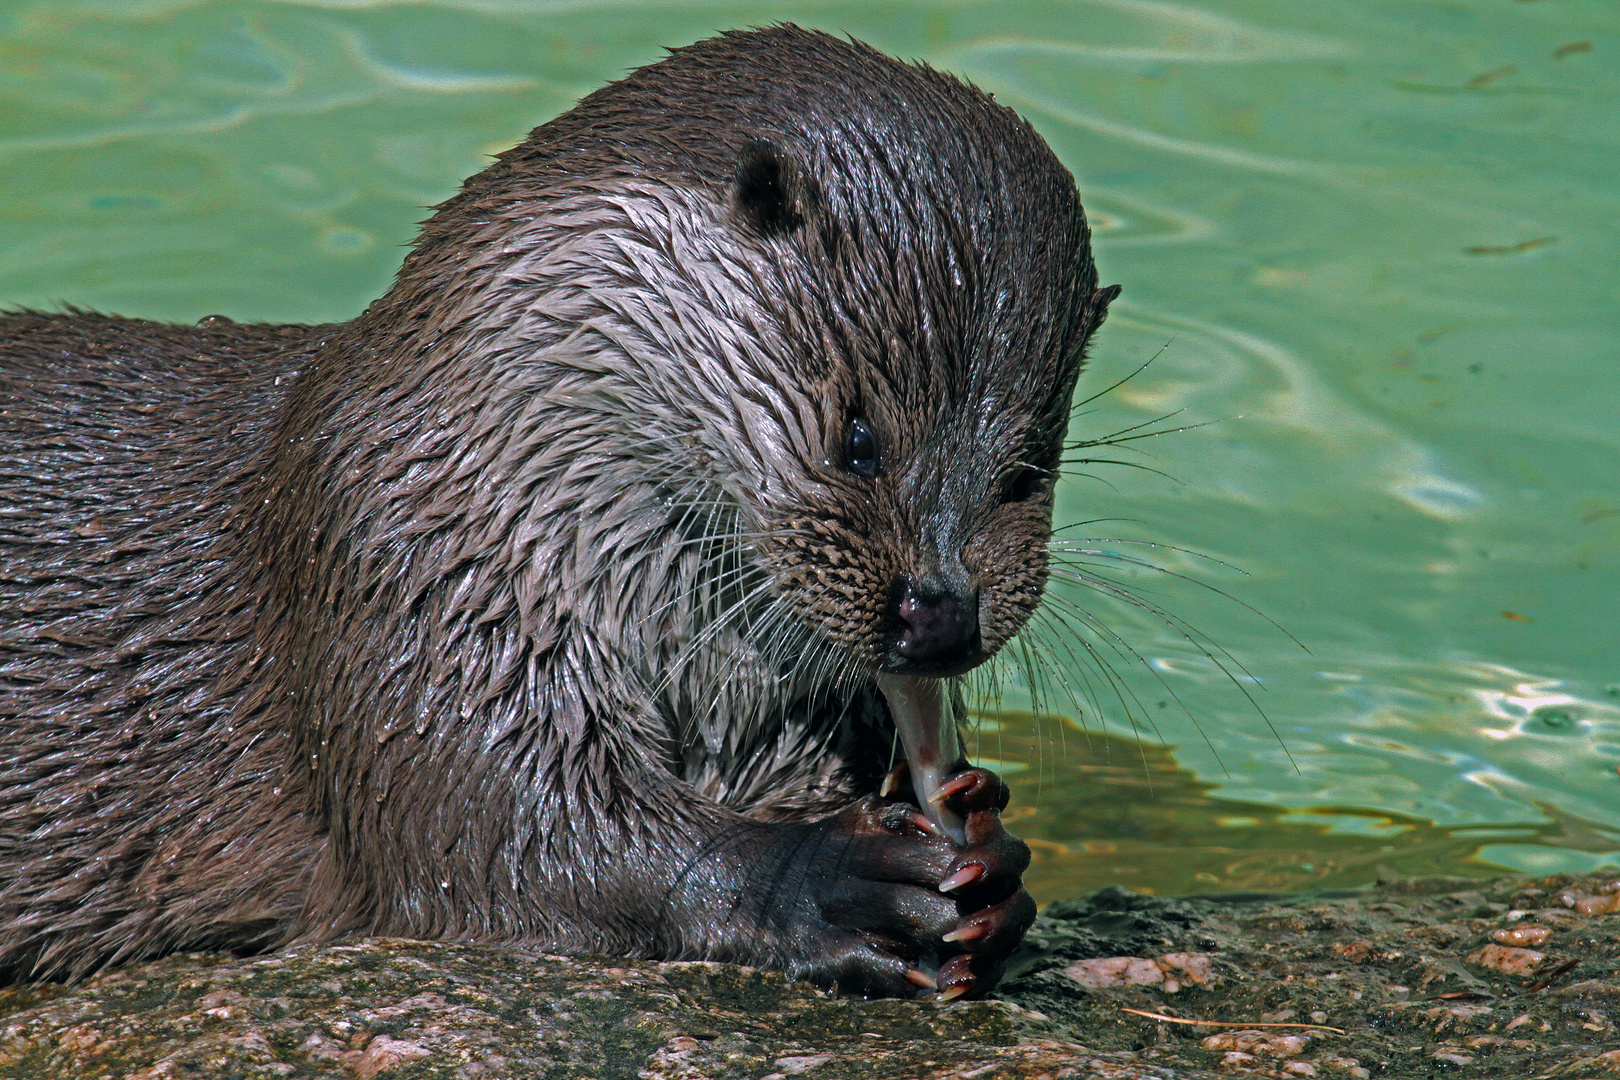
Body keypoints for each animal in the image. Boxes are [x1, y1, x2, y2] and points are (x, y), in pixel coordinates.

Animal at [0, 25, 1114, 1003]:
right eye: (859, 437)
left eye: (1028, 468)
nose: (941, 614)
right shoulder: (413, 568)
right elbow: (515, 841)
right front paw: (836, 882)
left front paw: (995, 872)